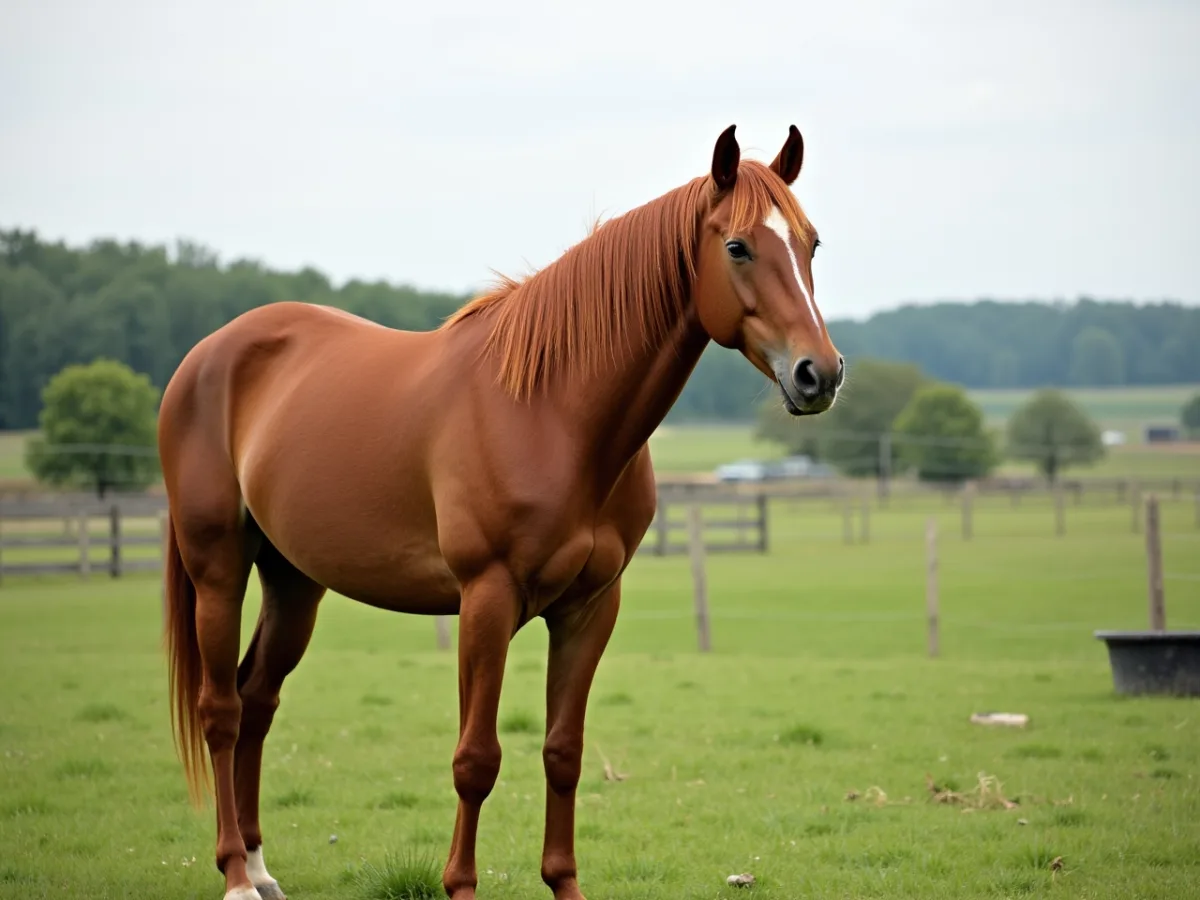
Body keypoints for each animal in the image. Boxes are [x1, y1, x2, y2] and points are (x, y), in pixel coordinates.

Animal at [158, 123, 844, 900]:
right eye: (737, 247)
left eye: (811, 242)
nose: (819, 374)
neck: (554, 413)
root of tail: (210, 354)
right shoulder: (486, 599)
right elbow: (476, 758)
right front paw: (459, 885)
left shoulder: (588, 608)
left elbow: (563, 750)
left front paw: (565, 884)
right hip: (218, 570)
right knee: (221, 709)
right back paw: (235, 874)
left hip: (294, 582)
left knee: (258, 702)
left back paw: (262, 867)